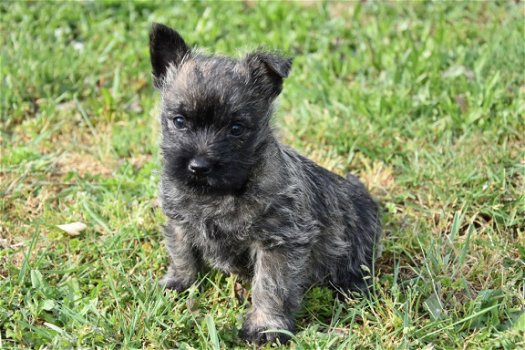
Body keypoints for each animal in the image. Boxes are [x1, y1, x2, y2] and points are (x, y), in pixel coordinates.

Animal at [149, 22, 378, 344]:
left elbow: (271, 286)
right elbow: (182, 254)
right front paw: (178, 284)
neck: (219, 193)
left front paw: (264, 327)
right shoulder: (179, 222)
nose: (198, 166)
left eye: (236, 128)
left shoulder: (278, 242)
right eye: (179, 121)